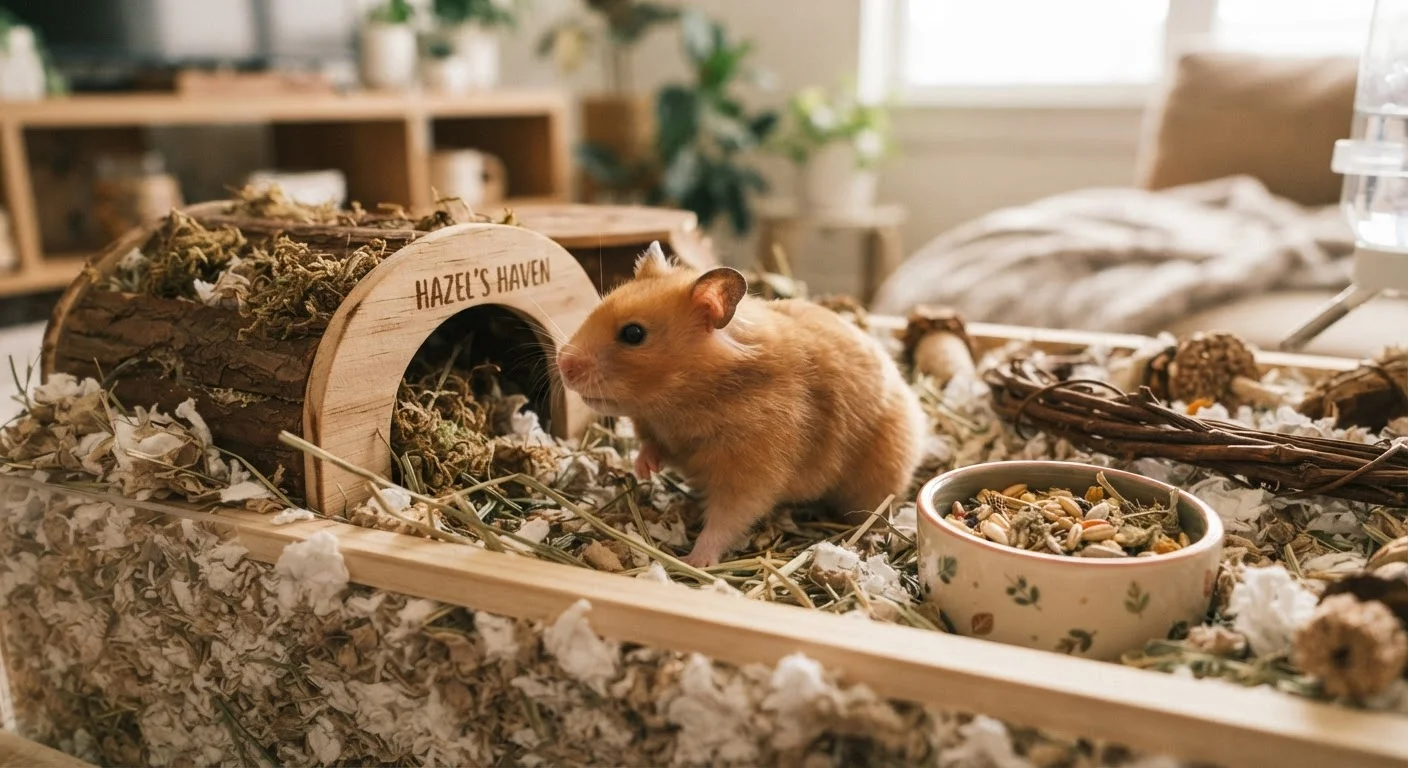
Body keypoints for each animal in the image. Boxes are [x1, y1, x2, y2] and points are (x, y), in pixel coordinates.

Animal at [556, 242, 928, 567]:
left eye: (633, 334)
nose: (562, 364)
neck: (686, 400)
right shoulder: (659, 431)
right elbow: (651, 445)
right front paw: (644, 469)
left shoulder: (750, 472)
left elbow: (726, 520)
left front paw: (696, 562)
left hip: (881, 478)